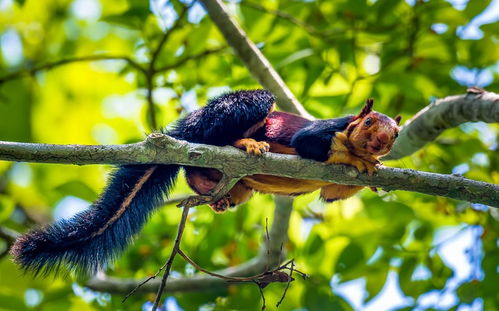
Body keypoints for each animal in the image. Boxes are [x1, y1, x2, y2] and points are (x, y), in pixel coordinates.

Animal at [10, 89, 402, 276]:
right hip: (232, 113)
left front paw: (374, 167)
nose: (381, 142)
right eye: (369, 123)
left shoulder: (332, 187)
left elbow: (332, 192)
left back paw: (220, 197)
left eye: (395, 134)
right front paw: (357, 157)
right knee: (219, 134)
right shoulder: (326, 130)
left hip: (232, 185)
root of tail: (185, 131)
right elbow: (314, 144)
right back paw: (245, 143)